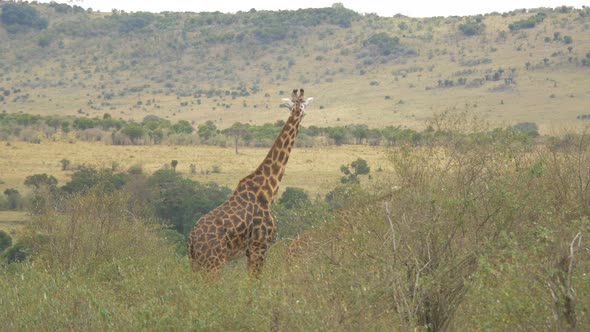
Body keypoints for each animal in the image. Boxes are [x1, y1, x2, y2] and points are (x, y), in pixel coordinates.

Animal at [188, 88, 314, 278]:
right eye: (297, 105)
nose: (300, 112)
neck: (267, 191)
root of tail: (191, 240)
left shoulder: (250, 251)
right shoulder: (259, 246)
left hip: (195, 264)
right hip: (213, 263)